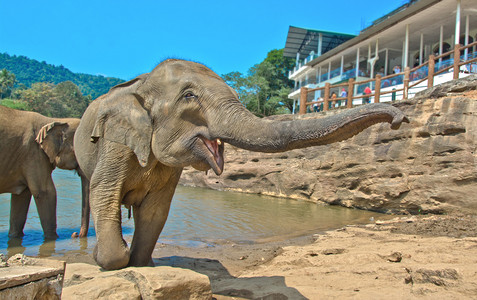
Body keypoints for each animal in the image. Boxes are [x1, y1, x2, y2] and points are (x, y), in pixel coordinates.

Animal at [0, 105, 89, 239]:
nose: (75, 234)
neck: (53, 120)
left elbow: (22, 196)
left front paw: (14, 236)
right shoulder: (34, 154)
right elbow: (45, 192)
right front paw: (53, 238)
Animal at [72, 58, 408, 270]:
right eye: (189, 96)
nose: (400, 119)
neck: (141, 85)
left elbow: (156, 210)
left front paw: (142, 264)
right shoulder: (114, 143)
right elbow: (104, 193)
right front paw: (108, 258)